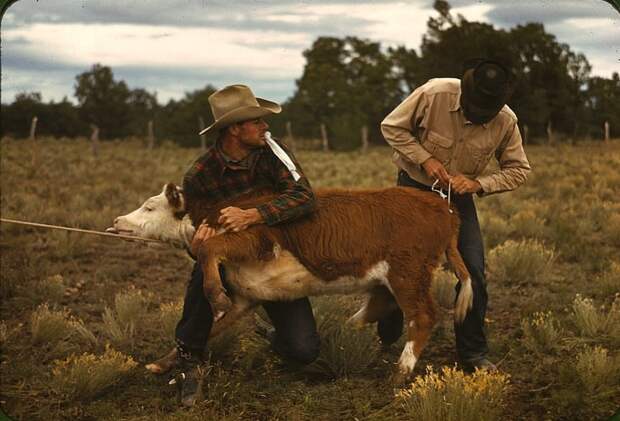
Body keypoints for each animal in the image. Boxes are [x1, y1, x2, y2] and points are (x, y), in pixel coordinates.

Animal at [110, 183, 474, 380]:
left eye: (149, 206)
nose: (117, 221)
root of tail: (444, 208)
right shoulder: (248, 296)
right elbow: (213, 326)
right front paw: (162, 363)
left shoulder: (254, 241)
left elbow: (208, 249)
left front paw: (215, 296)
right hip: (390, 277)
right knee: (377, 307)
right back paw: (340, 335)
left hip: (408, 272)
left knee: (423, 316)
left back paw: (401, 371)